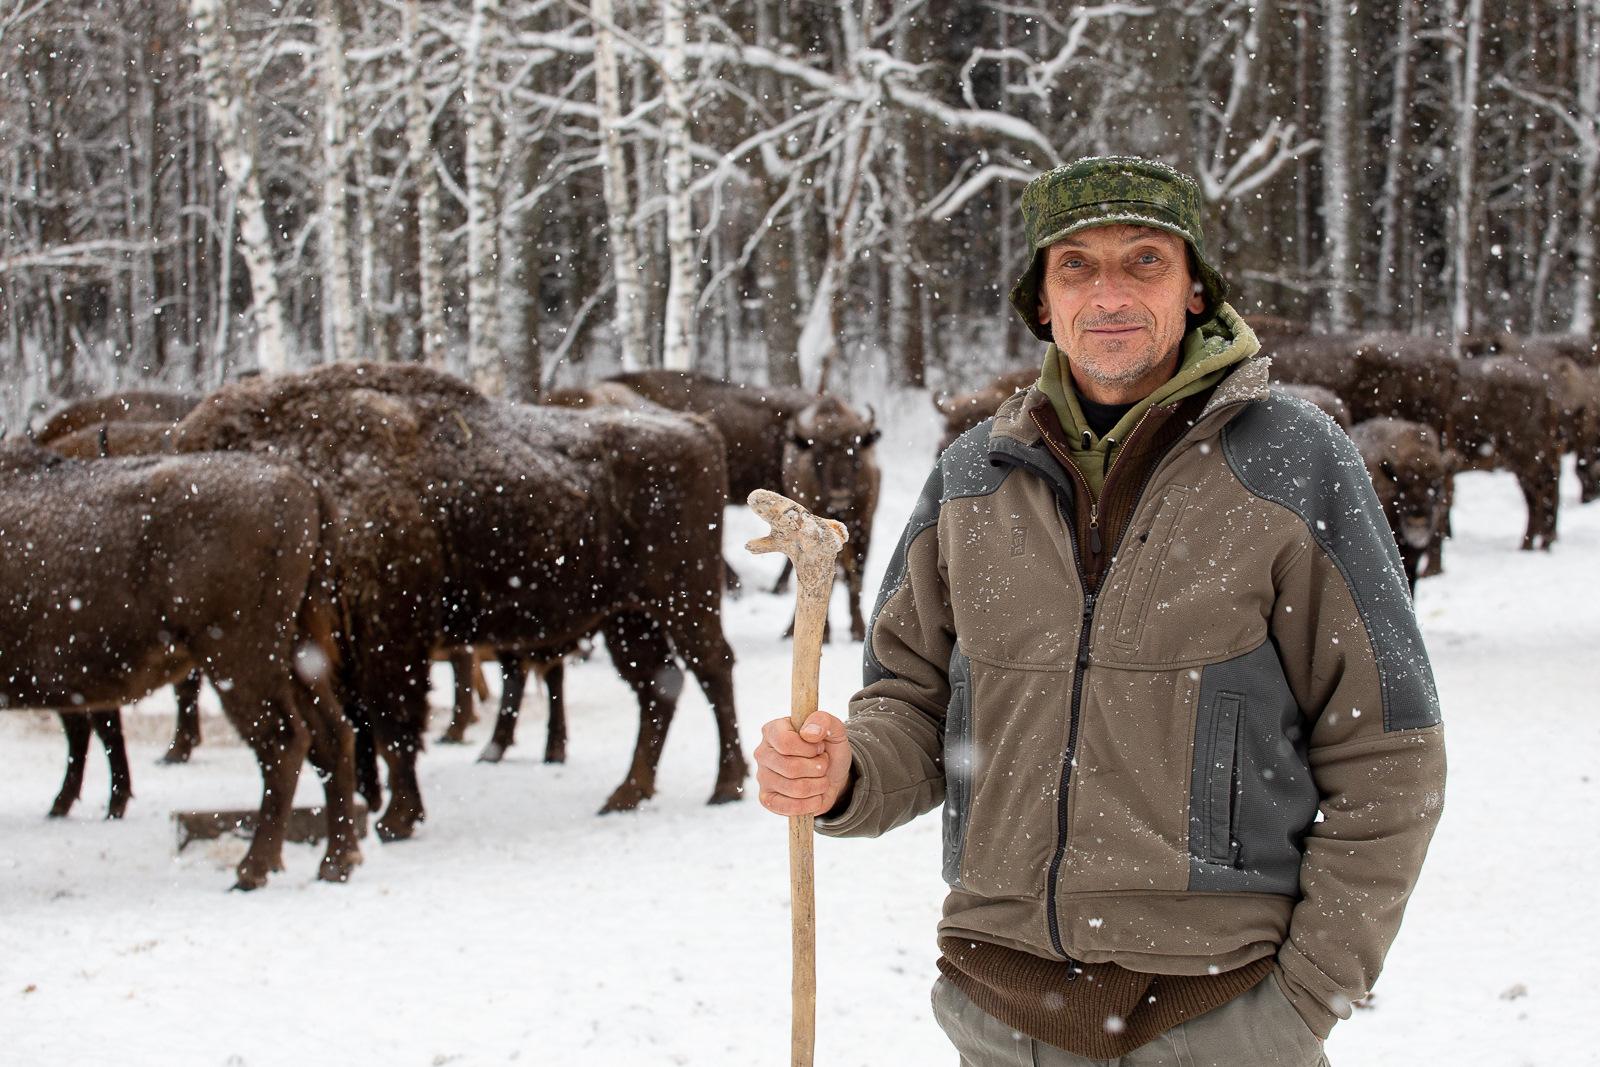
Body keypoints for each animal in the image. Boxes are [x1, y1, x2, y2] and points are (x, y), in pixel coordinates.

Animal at [0, 438, 356, 889]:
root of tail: (300, 480)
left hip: (238, 658)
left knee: (283, 741)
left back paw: (251, 871)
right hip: (295, 653)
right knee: (333, 734)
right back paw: (336, 863)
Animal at [172, 363, 745, 831]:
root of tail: (697, 428)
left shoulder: (391, 639)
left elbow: (393, 725)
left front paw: (397, 820)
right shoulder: (346, 651)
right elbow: (364, 728)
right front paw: (374, 806)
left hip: (684, 601)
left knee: (712, 670)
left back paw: (725, 786)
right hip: (627, 617)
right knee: (658, 688)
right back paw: (625, 795)